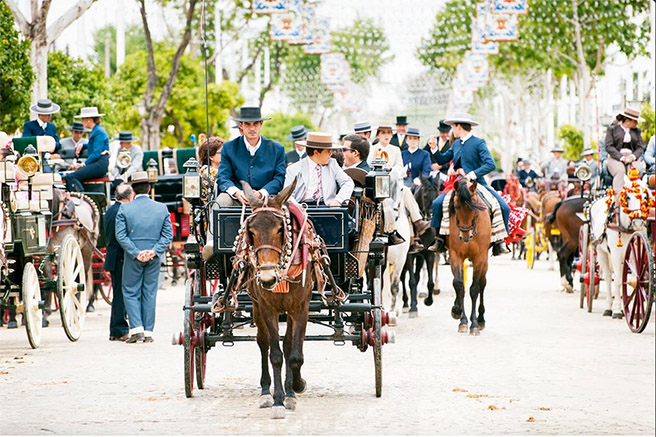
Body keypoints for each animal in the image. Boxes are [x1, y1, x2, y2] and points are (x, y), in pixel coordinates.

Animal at [240, 179, 316, 418]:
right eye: (251, 232)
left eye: (281, 229)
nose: (267, 278)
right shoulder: (267, 307)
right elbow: (275, 354)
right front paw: (278, 400)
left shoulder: (300, 307)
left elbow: (294, 354)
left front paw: (296, 388)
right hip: (256, 306)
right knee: (263, 343)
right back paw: (266, 391)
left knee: (289, 344)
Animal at [448, 176, 490, 334]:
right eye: (456, 207)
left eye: (474, 206)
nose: (465, 236)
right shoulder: (455, 255)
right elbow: (459, 285)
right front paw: (461, 317)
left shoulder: (480, 257)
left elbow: (474, 289)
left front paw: (474, 324)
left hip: (485, 261)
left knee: (482, 283)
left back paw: (481, 319)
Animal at [588, 173, 652, 316]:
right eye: (628, 197)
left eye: (645, 197)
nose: (638, 222)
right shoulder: (616, 253)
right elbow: (617, 280)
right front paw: (617, 309)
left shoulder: (635, 251)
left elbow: (631, 278)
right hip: (601, 251)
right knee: (608, 277)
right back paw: (608, 307)